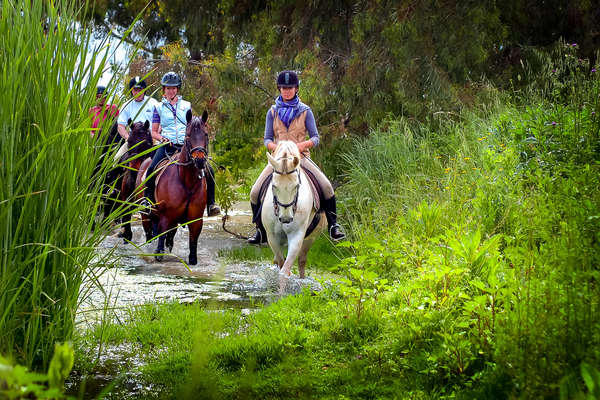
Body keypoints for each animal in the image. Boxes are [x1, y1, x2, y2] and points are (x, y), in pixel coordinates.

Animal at [137, 110, 210, 266]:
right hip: (146, 214)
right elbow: (162, 234)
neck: (187, 181)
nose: (200, 160)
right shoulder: (166, 215)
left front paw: (192, 258)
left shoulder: (196, 219)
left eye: (206, 134)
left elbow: (192, 241)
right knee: (150, 233)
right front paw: (158, 254)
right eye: (188, 135)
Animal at [262, 141, 326, 282]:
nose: (286, 219)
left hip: (310, 238)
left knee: (302, 261)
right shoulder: (272, 237)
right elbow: (281, 264)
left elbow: (285, 271)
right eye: (273, 186)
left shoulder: (297, 235)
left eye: (297, 185)